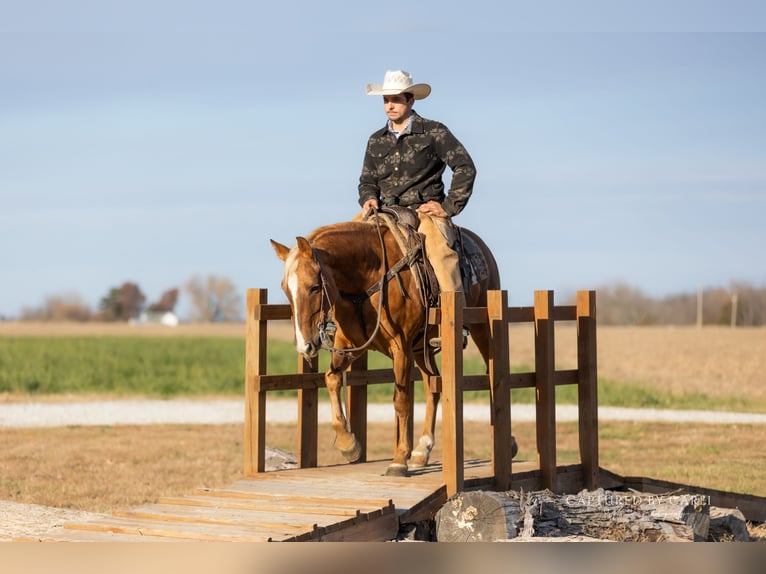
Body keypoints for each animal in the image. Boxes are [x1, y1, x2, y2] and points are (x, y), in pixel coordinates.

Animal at [271, 214, 513, 477]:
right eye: (286, 289)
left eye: (314, 287)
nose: (304, 346)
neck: (369, 277)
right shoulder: (350, 345)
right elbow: (332, 379)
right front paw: (348, 445)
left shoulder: (401, 347)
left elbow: (401, 400)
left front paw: (398, 461)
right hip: (421, 350)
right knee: (432, 387)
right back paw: (422, 451)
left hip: (481, 328)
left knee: (492, 374)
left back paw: (508, 443)